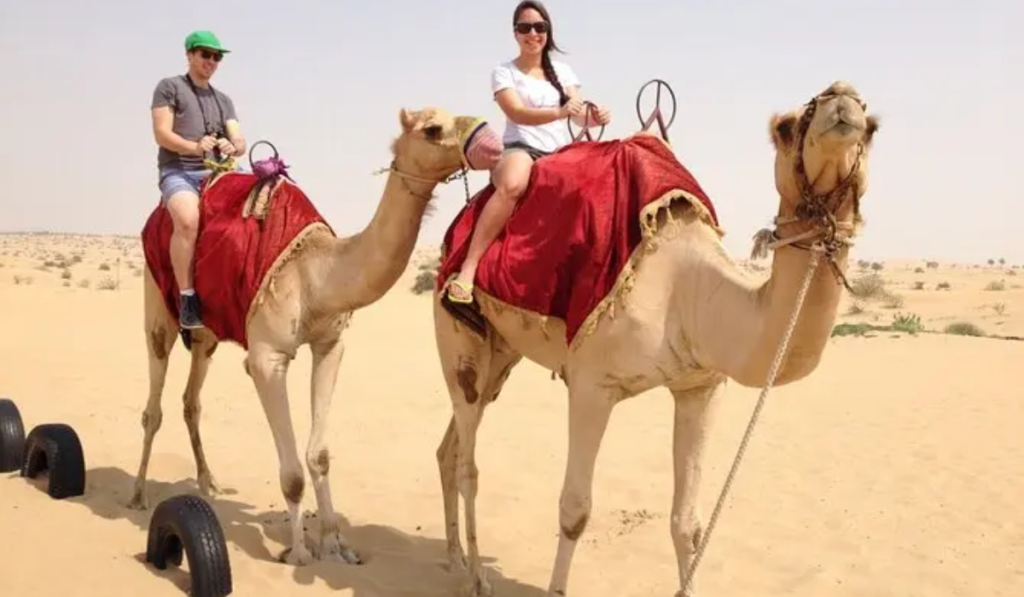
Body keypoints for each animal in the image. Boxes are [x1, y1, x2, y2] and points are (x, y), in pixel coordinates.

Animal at [128, 104, 479, 569]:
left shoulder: (329, 344)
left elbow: (320, 455)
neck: (318, 274)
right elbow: (293, 474)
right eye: (433, 128)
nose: (486, 134)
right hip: (158, 303)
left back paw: (209, 483)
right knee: (154, 402)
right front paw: (297, 552)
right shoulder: (265, 358)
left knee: (191, 400)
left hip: (207, 333)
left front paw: (334, 543)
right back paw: (137, 494)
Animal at [432, 80, 880, 597]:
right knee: (467, 458)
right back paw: (476, 578)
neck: (688, 293)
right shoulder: (591, 383)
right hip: (456, 335)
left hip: (501, 353)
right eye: (786, 128)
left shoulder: (701, 385)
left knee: (452, 445)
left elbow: (688, 523)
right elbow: (574, 511)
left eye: (872, 124)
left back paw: (453, 557)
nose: (842, 99)